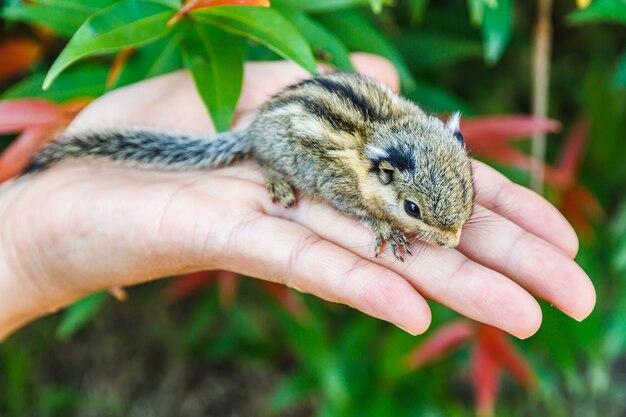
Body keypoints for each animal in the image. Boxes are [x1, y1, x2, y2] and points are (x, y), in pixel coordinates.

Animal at [23, 72, 472, 260]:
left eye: (469, 193)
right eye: (412, 209)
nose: (451, 243)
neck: (383, 132)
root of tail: (254, 126)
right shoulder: (336, 183)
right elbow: (357, 209)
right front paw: (385, 229)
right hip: (276, 152)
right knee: (261, 161)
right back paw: (278, 184)